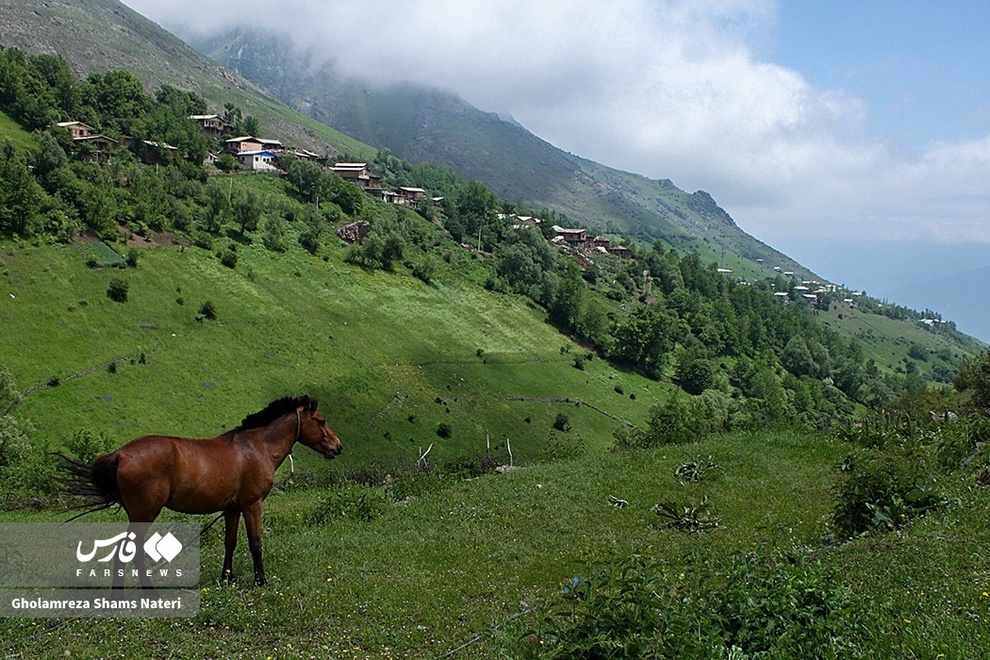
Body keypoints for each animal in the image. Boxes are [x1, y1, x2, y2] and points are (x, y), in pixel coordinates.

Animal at [62, 394, 342, 584]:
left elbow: (231, 542)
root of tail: (121, 454)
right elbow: (255, 543)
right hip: (144, 514)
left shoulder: (232, 508)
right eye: (321, 420)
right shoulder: (252, 505)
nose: (337, 447)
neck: (257, 446)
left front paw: (227, 577)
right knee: (128, 553)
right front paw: (260, 580)